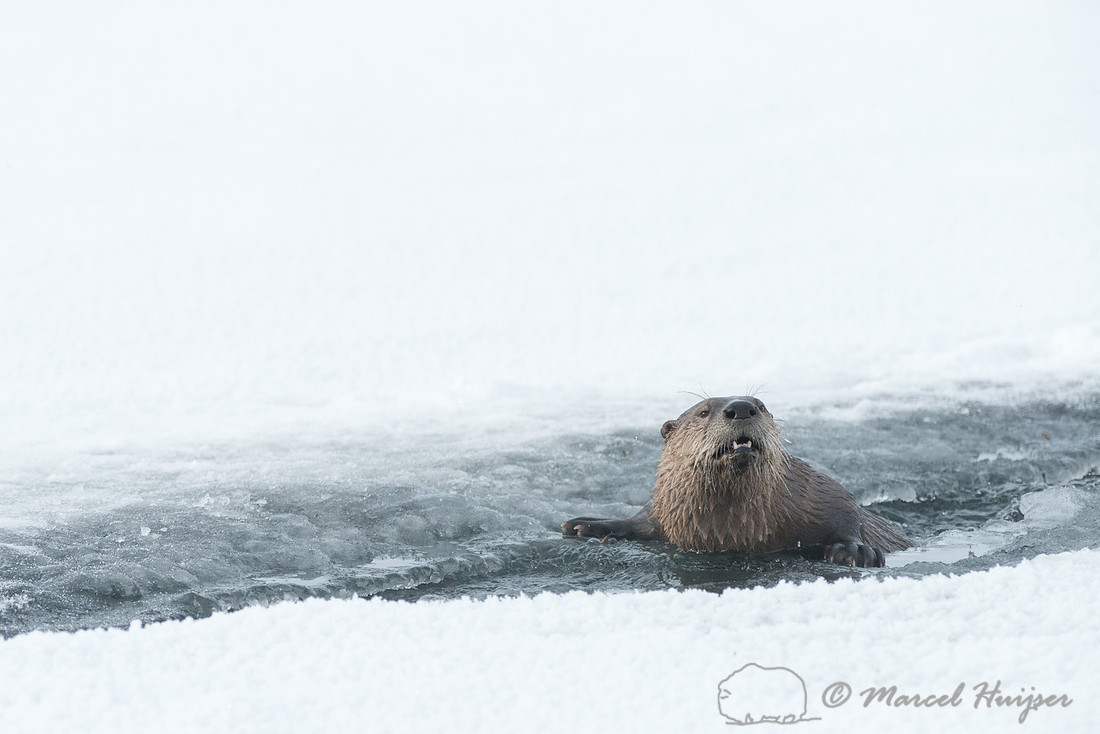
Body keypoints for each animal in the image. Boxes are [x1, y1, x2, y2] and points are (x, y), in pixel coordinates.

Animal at [562, 396, 911, 567]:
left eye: (761, 405)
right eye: (703, 412)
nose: (741, 407)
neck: (730, 530)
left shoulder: (815, 492)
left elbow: (846, 508)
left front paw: (855, 552)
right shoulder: (669, 513)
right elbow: (642, 519)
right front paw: (587, 525)